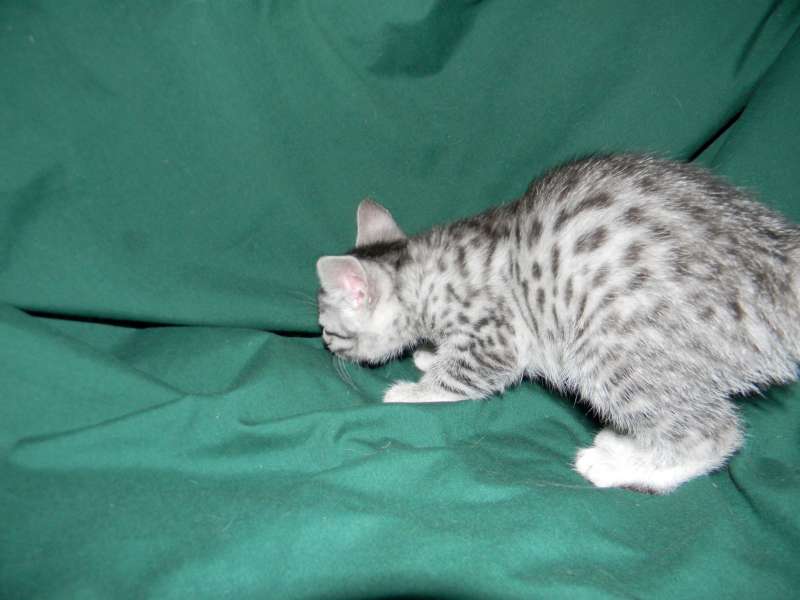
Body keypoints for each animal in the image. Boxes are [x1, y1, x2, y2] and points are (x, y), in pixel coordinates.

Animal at [316, 154, 800, 493]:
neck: (424, 273)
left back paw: (623, 467)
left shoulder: (496, 338)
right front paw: (429, 352)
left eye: (328, 327)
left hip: (607, 346)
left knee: (714, 432)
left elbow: (460, 378)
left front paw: (413, 390)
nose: (323, 342)